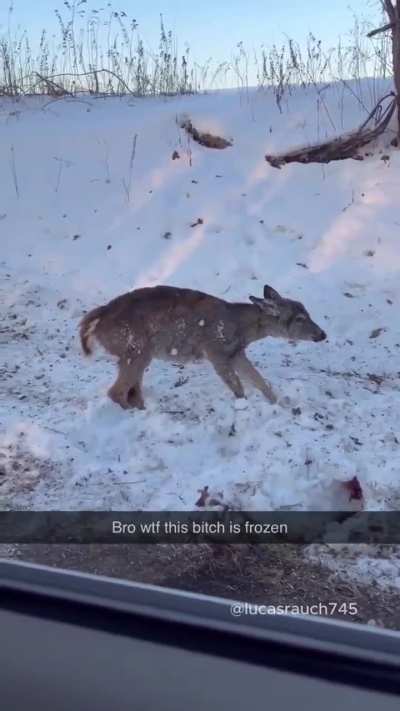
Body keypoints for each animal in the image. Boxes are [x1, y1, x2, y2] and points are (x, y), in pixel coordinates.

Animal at [79, 284, 326, 410]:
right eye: (299, 318)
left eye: (306, 311)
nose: (322, 335)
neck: (240, 327)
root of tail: (99, 317)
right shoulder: (215, 350)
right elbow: (238, 387)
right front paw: (244, 408)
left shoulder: (236, 352)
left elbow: (259, 380)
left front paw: (279, 405)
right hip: (136, 348)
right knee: (116, 391)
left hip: (135, 352)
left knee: (131, 390)